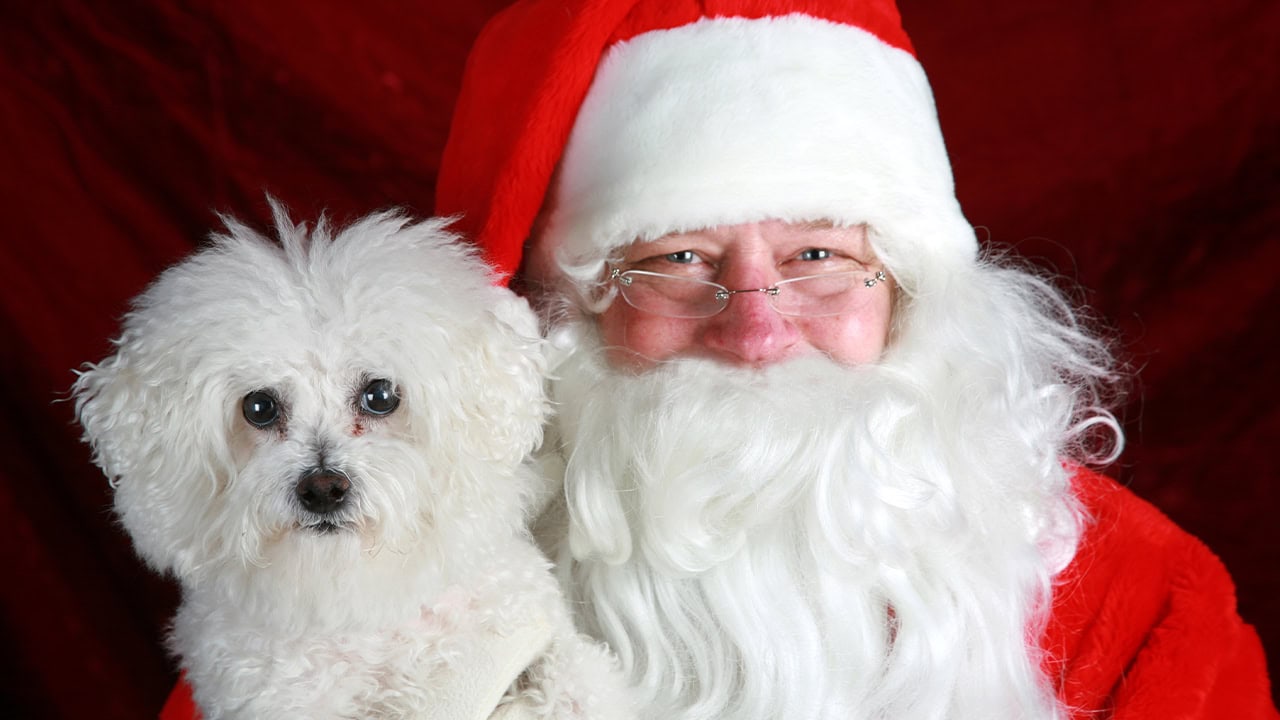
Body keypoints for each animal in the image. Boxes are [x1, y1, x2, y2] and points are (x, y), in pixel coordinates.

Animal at [73, 203, 629, 717]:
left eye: (380, 395)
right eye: (259, 407)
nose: (322, 488)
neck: (356, 601)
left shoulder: (530, 629)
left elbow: (574, 678)